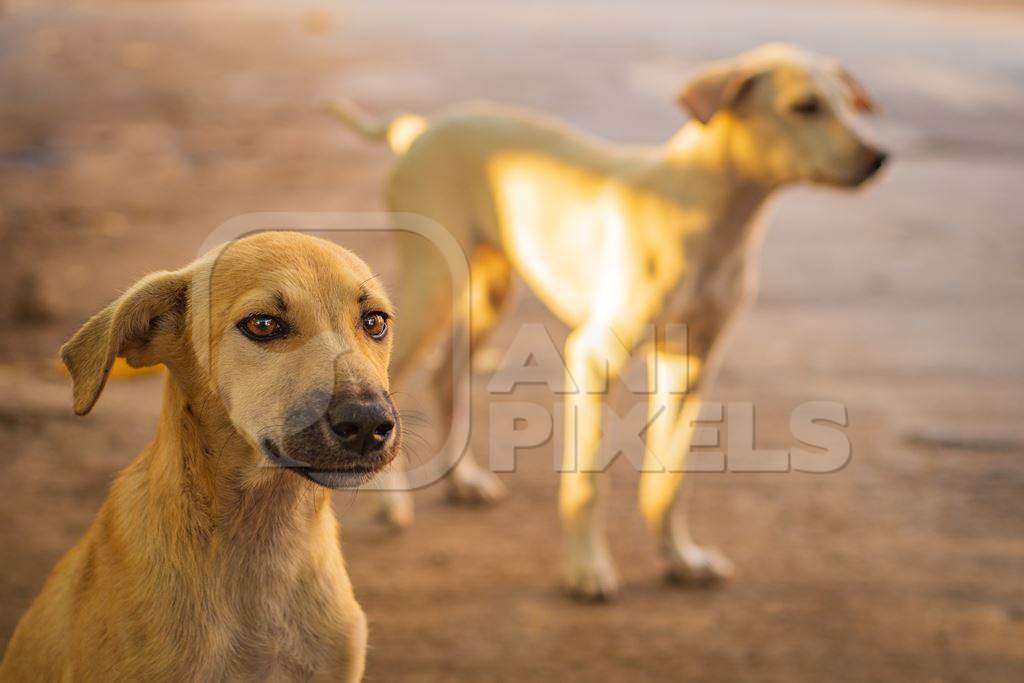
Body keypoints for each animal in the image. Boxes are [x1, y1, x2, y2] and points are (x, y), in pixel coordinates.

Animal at [329, 44, 888, 598]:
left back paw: (462, 480)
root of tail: (421, 128)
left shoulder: (692, 364)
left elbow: (669, 479)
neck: (708, 213)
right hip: (433, 290)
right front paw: (586, 569)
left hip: (488, 291)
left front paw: (682, 559)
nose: (879, 158)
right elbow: (588, 478)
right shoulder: (593, 356)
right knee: (399, 379)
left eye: (850, 106)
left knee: (446, 378)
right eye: (805, 107)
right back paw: (392, 500)